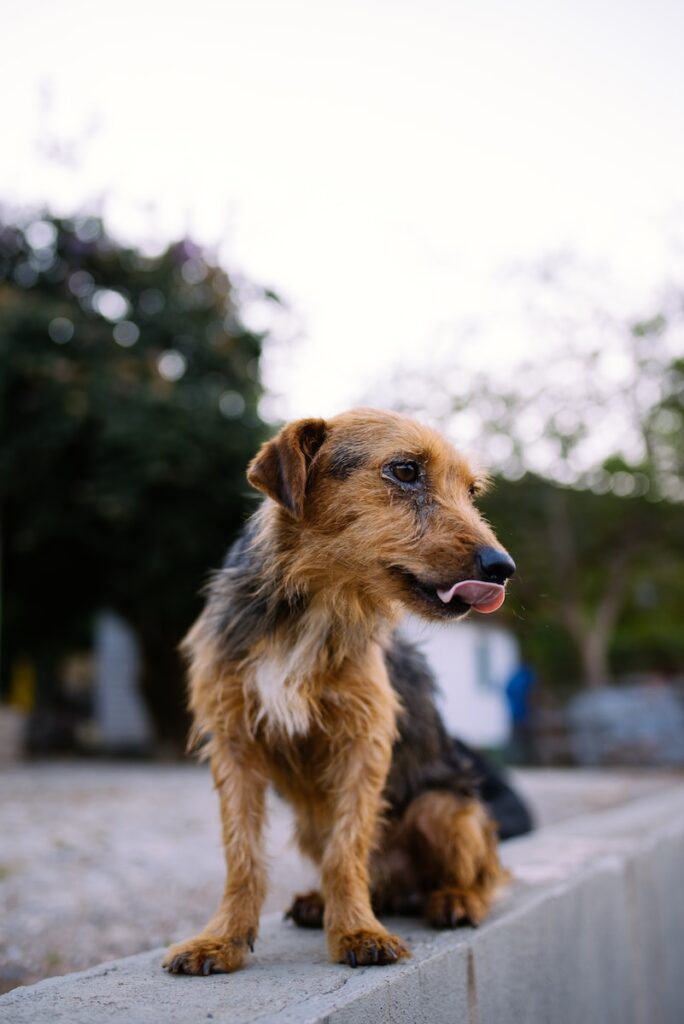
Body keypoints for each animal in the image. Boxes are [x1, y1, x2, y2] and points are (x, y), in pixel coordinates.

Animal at [162, 405, 528, 974]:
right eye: (405, 470)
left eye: (471, 491)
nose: (503, 568)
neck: (314, 605)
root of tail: (403, 891)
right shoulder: (233, 741)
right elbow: (243, 855)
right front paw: (222, 939)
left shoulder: (363, 741)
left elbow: (348, 848)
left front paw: (357, 929)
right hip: (313, 824)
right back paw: (321, 903)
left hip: (448, 807)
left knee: (484, 876)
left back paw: (453, 900)